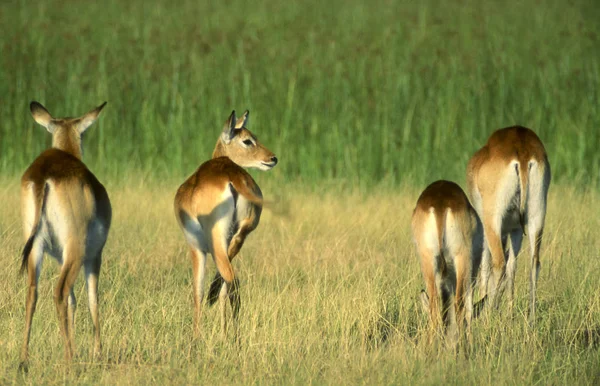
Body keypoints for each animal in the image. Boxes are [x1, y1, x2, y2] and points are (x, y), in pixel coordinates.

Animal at [19, 101, 111, 370]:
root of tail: (43, 176)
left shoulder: (60, 257)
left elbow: (73, 301)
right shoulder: (94, 256)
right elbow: (92, 298)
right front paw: (96, 352)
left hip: (36, 247)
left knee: (33, 292)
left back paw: (24, 358)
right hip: (75, 250)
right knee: (59, 292)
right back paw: (69, 358)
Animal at [172, 110, 278, 336]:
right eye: (248, 140)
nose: (273, 158)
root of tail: (232, 178)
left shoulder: (196, 248)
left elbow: (198, 291)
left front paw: (196, 337)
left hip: (216, 243)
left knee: (232, 281)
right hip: (237, 238)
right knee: (229, 285)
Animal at [466, 125, 552, 322]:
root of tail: (522, 152)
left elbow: (486, 265)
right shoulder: (516, 230)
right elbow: (513, 267)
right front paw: (509, 313)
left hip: (492, 220)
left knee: (499, 264)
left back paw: (487, 316)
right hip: (537, 217)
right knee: (534, 264)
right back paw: (530, 320)